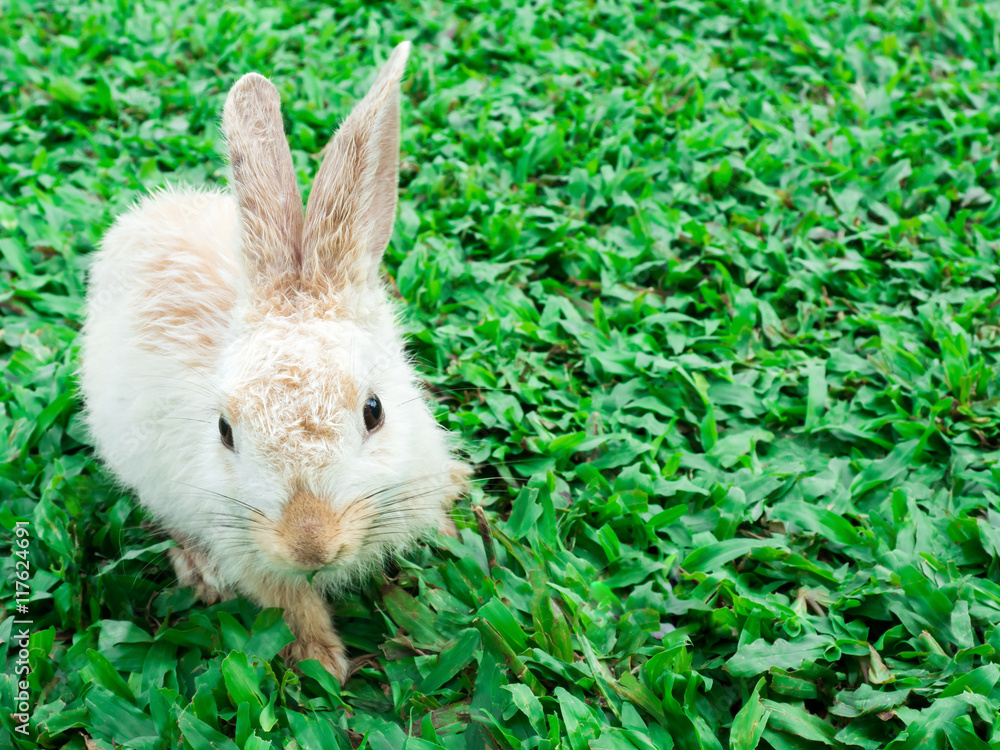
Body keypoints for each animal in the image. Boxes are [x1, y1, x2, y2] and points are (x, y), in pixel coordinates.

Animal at [77, 41, 471, 681]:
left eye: (374, 411)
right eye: (223, 431)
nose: (310, 545)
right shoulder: (244, 544)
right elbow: (287, 604)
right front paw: (321, 663)